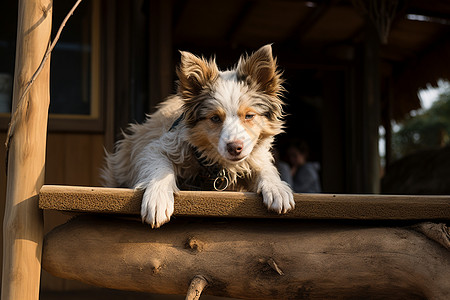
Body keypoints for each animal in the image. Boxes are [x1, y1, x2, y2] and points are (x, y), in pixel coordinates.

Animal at [101, 44, 296, 227]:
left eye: (249, 116)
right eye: (215, 118)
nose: (235, 148)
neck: (216, 166)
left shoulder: (254, 156)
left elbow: (264, 168)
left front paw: (277, 188)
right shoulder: (158, 146)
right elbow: (160, 167)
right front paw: (157, 199)